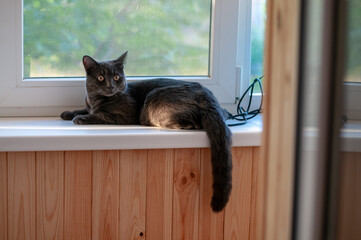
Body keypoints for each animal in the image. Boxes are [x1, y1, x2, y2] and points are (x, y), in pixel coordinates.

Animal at [60, 52, 232, 212]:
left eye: (116, 77)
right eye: (101, 78)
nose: (111, 86)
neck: (95, 100)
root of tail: (206, 94)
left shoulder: (124, 115)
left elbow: (99, 115)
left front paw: (80, 118)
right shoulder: (90, 105)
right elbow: (83, 109)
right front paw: (67, 113)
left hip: (154, 99)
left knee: (192, 122)